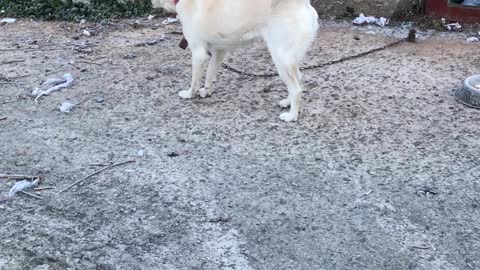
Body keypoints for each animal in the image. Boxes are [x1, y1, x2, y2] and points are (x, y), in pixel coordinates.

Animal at [175, 0, 318, 121]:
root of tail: (302, 3)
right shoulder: (220, 51)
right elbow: (210, 73)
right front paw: (206, 91)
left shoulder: (198, 54)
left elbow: (194, 81)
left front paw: (189, 94)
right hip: (289, 59)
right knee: (297, 80)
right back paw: (287, 102)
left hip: (280, 59)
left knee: (296, 90)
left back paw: (292, 116)